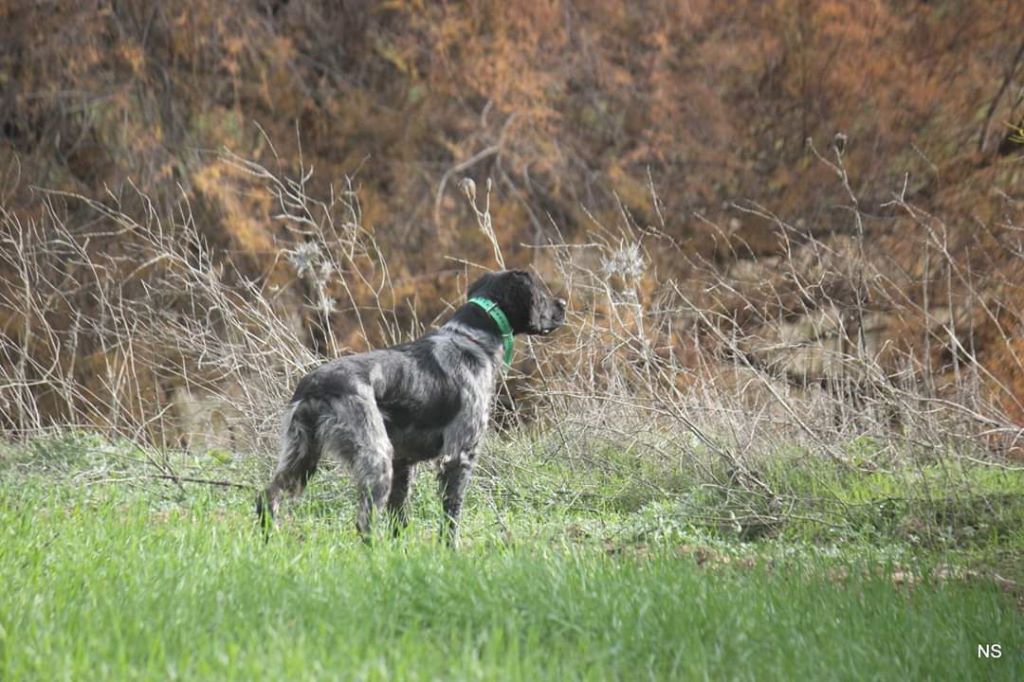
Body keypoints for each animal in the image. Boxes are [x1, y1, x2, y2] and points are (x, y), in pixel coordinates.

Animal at [256, 268, 569, 540]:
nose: (563, 304)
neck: (472, 339)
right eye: (541, 293)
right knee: (364, 523)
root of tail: (314, 386)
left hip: (301, 456)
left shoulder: (404, 462)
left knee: (267, 498)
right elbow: (451, 518)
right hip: (376, 458)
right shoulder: (459, 454)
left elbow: (400, 520)